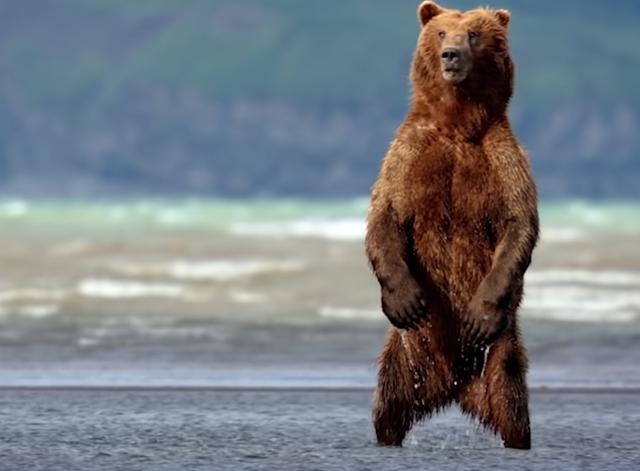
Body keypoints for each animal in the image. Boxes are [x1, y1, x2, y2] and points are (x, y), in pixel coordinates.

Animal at [364, 0, 540, 450]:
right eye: (442, 32)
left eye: (474, 34)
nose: (451, 55)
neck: (458, 125)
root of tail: (454, 385)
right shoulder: (408, 153)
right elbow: (384, 216)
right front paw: (405, 300)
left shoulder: (502, 158)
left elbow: (518, 224)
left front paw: (480, 314)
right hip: (405, 356)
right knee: (388, 404)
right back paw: (387, 435)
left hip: (501, 353)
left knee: (512, 403)